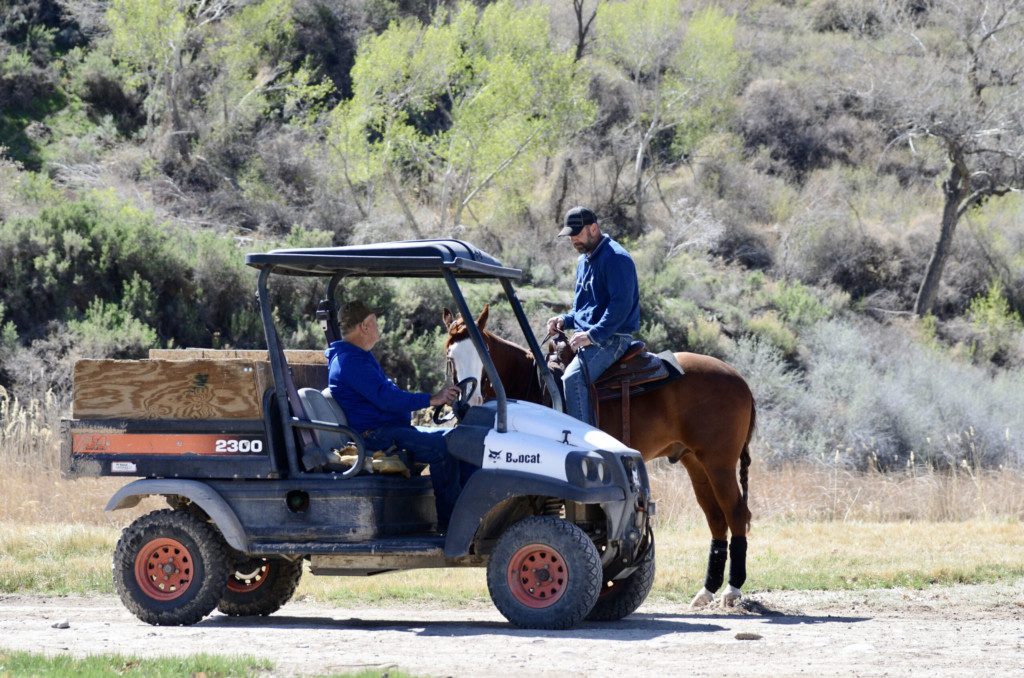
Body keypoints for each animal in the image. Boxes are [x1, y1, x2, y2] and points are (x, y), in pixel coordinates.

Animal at [444, 305, 757, 606]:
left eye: (482, 351)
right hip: (696, 463)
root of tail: (740, 379)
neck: (531, 385)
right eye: (450, 356)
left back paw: (732, 589)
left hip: (719, 464)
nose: (469, 402)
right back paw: (707, 590)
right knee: (716, 517)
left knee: (736, 513)